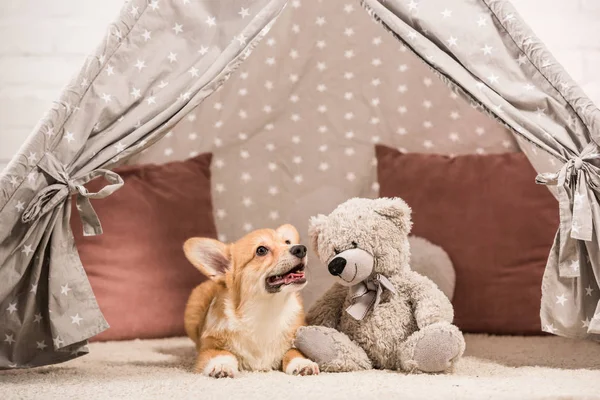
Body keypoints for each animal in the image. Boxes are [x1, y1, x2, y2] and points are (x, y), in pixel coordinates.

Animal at [184, 225, 318, 378]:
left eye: (287, 242)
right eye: (261, 250)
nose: (301, 248)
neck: (267, 310)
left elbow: (294, 352)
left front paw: (303, 364)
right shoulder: (209, 347)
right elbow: (222, 354)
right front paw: (221, 366)